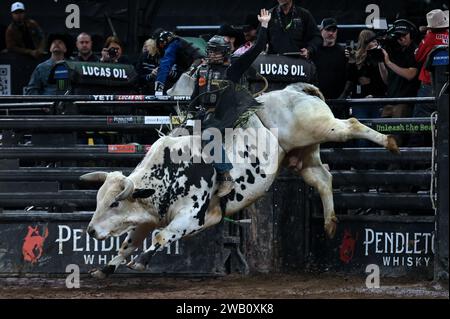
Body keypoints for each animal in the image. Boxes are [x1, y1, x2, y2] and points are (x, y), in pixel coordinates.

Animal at [81, 83, 398, 280]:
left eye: (114, 203)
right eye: (98, 200)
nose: (91, 230)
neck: (168, 172)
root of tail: (292, 90)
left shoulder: (193, 216)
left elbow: (161, 236)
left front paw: (141, 263)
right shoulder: (151, 216)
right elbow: (128, 243)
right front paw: (105, 269)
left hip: (319, 126)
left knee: (351, 125)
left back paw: (391, 143)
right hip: (302, 155)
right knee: (322, 178)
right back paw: (330, 224)